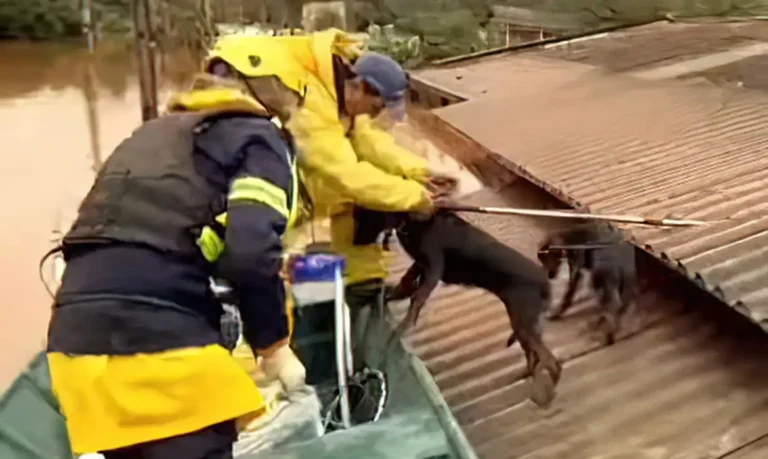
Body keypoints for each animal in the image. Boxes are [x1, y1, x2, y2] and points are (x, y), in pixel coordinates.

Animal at [354, 207, 564, 408]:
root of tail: (544, 278)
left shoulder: (433, 269)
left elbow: (415, 298)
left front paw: (400, 328)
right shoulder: (420, 265)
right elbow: (405, 284)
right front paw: (387, 296)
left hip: (523, 323)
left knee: (551, 362)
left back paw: (547, 397)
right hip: (521, 325)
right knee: (533, 356)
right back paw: (524, 376)